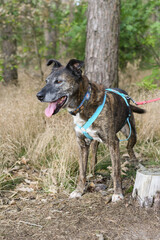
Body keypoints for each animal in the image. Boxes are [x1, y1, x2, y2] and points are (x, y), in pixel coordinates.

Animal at [37, 59, 146, 202]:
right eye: (46, 81)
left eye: (59, 81)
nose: (38, 96)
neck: (84, 102)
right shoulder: (82, 144)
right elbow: (81, 171)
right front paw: (79, 190)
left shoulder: (113, 142)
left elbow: (116, 171)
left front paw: (117, 193)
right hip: (95, 142)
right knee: (94, 158)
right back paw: (92, 173)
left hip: (131, 132)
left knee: (129, 148)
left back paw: (137, 164)